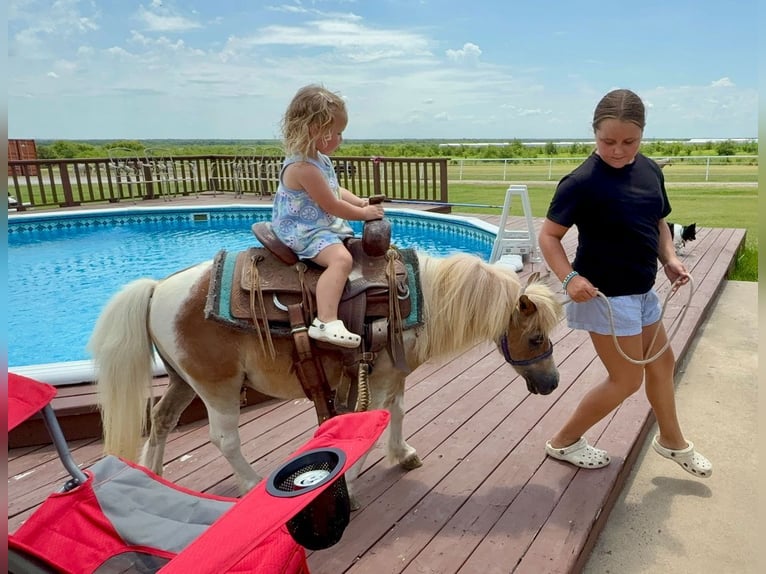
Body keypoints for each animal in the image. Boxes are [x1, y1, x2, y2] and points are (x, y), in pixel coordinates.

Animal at [89, 251, 564, 508]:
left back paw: (153, 477)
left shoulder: (390, 376)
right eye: (536, 336)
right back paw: (250, 483)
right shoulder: (379, 378)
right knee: (223, 439)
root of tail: (157, 289)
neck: (417, 300)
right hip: (216, 387)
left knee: (161, 421)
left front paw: (402, 454)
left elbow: (397, 412)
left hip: (183, 382)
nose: (553, 384)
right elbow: (369, 426)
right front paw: (348, 488)